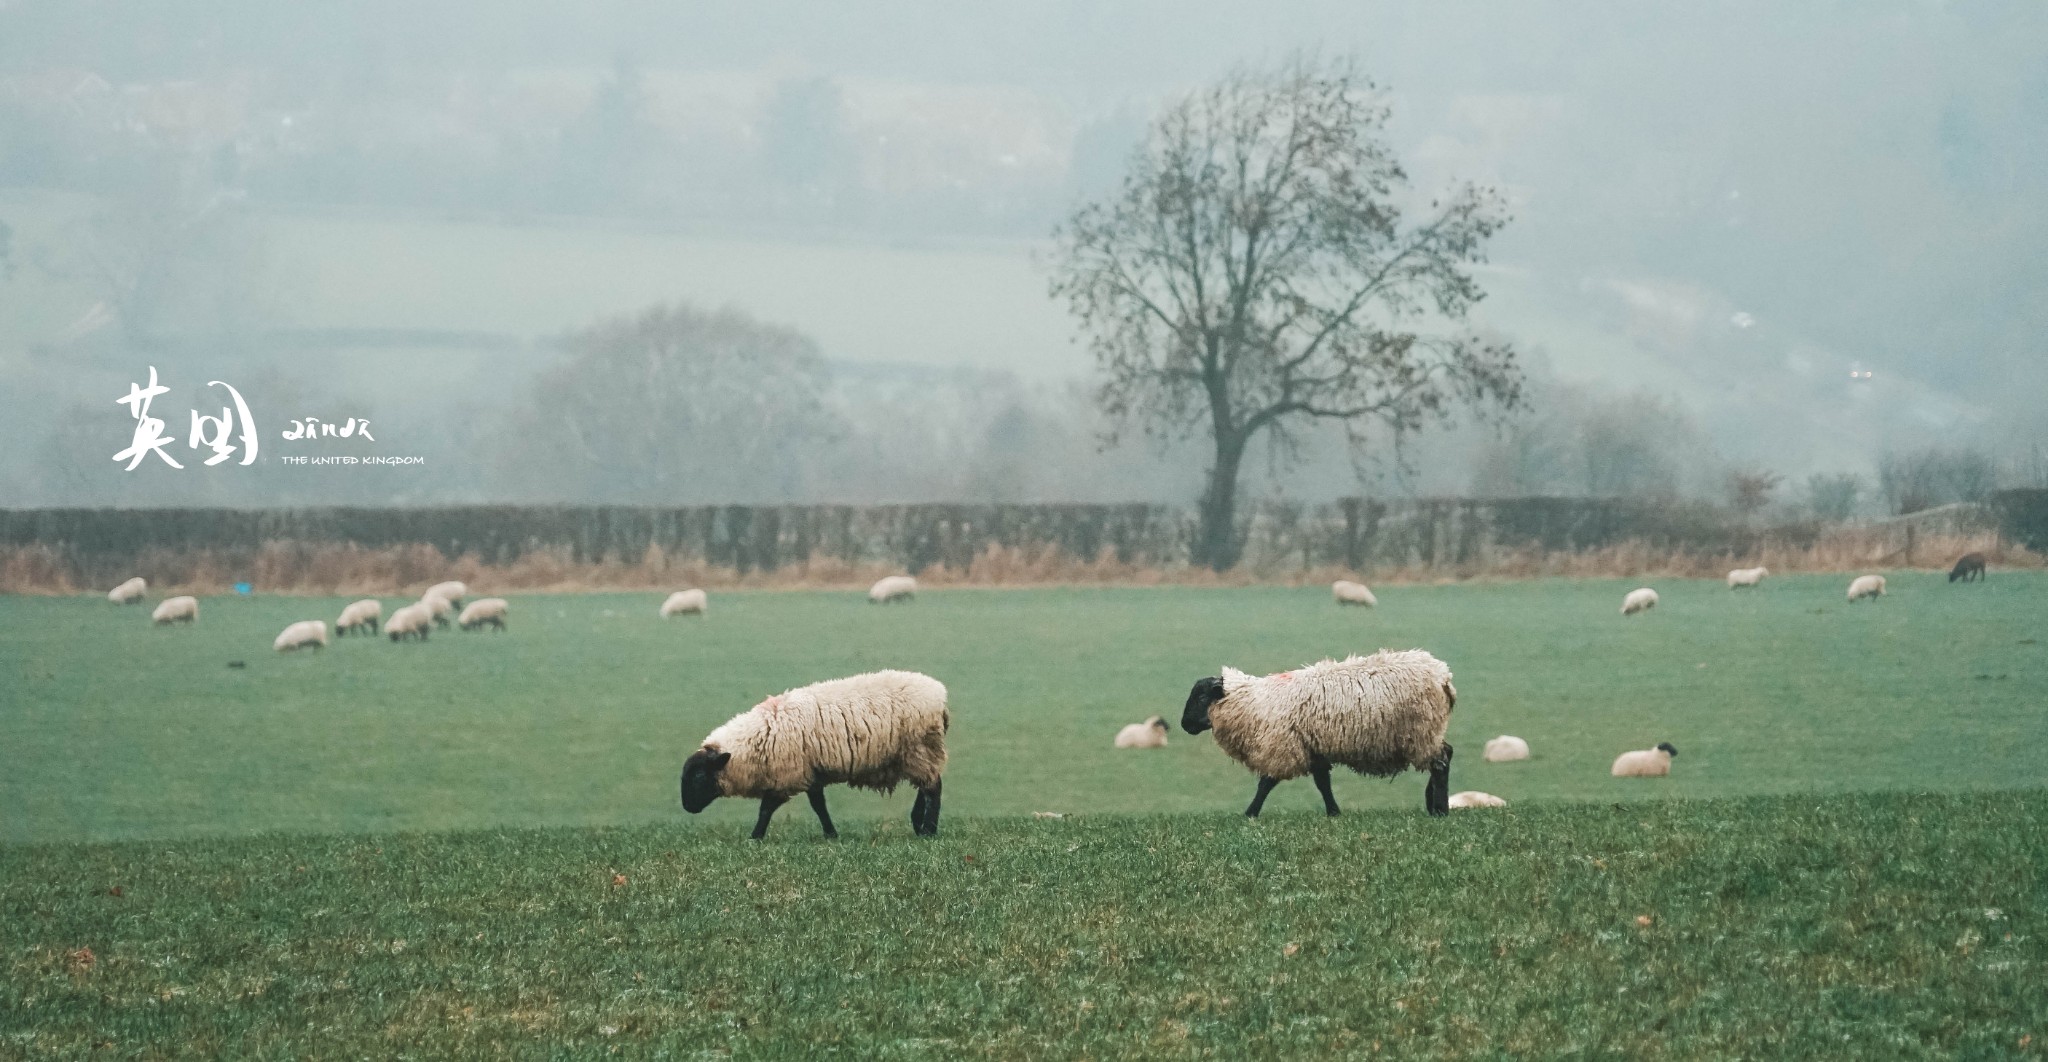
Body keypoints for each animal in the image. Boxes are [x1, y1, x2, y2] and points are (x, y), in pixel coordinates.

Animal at [679, 675, 950, 838]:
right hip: (917, 753)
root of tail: (940, 695)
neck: (757, 738)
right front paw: (831, 834)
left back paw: (929, 830)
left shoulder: (788, 774)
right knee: (927, 784)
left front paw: (755, 836)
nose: (687, 807)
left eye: (700, 776)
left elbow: (766, 808)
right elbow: (818, 805)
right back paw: (918, 824)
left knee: (933, 789)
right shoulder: (811, 772)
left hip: (919, 747)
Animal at [1179, 650, 1466, 818]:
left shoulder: (1282, 745)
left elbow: (1266, 783)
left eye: (1201, 696)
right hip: (1427, 732)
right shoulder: (1312, 746)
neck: (1251, 701)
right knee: (1446, 754)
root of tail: (1445, 678)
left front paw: (1250, 813)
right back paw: (1433, 803)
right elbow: (1322, 783)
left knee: (1439, 762)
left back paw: (1440, 809)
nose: (1184, 725)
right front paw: (1333, 812)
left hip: (1421, 730)